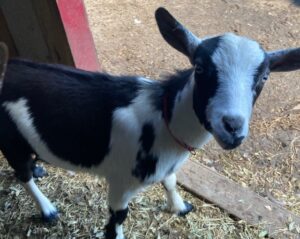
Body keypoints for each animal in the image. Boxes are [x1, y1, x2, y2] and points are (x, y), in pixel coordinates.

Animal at [0, 7, 300, 239]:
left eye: (264, 77)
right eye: (200, 67)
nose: (232, 127)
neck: (164, 122)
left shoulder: (167, 166)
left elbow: (171, 181)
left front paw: (180, 207)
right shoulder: (121, 181)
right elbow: (118, 216)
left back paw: (39, 169)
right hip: (9, 139)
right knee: (21, 173)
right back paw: (47, 209)